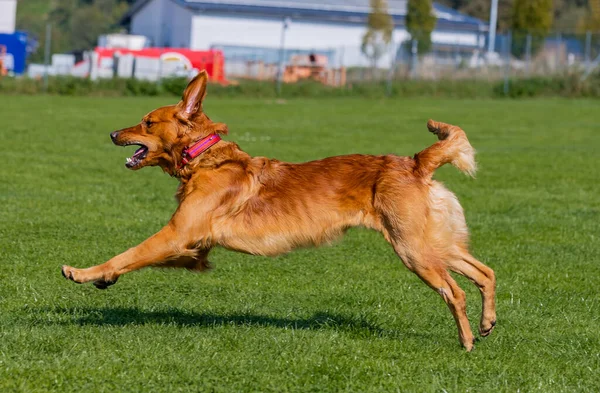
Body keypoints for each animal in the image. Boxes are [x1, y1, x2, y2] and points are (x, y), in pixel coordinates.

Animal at [64, 70, 496, 350]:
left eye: (147, 123)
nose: (112, 134)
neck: (205, 158)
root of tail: (416, 162)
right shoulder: (193, 248)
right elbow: (139, 259)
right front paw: (104, 280)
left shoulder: (176, 235)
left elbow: (128, 253)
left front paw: (84, 273)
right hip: (433, 244)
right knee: (484, 272)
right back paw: (487, 322)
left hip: (414, 249)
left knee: (455, 291)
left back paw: (467, 341)